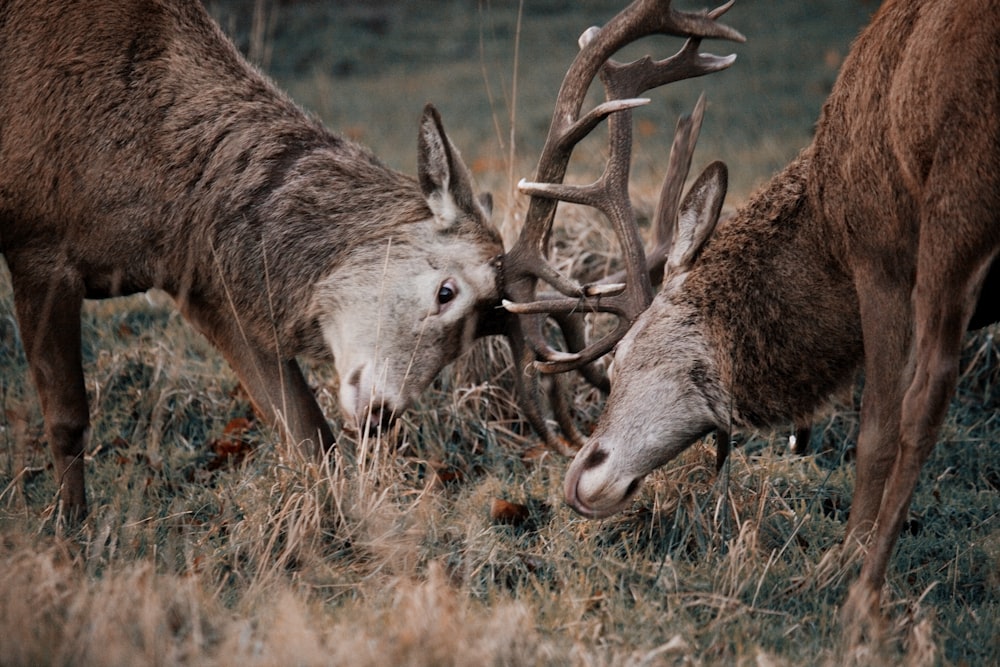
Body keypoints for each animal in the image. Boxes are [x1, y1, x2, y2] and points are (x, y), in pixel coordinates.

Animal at [528, 0, 996, 632]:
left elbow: (879, 426)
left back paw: (862, 594)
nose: (582, 478)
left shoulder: (882, 257)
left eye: (624, 355)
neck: (826, 231)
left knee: (926, 397)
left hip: (959, 193)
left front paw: (841, 563)